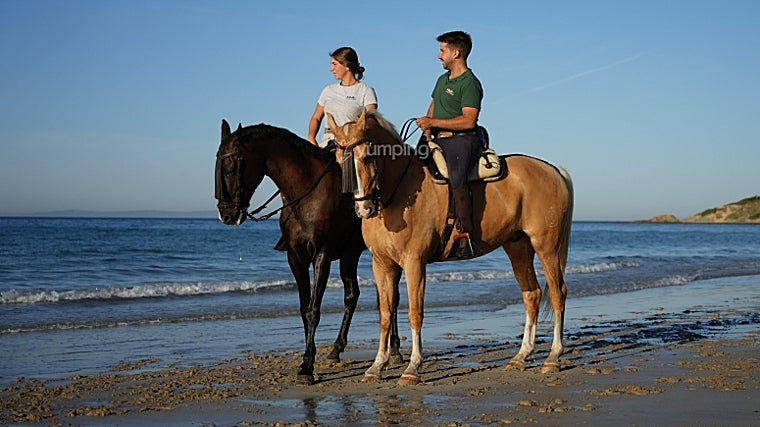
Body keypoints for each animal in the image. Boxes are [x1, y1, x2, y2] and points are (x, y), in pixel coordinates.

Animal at [214, 119, 402, 384]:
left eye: (231, 168)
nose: (227, 215)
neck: (306, 194)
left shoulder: (321, 256)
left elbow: (314, 309)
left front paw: (307, 367)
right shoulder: (295, 257)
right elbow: (304, 309)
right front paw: (307, 360)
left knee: (391, 297)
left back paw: (394, 350)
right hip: (351, 255)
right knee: (356, 296)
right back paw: (337, 349)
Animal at [326, 110, 574, 385]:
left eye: (368, 156)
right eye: (339, 160)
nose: (364, 208)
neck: (399, 192)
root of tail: (552, 169)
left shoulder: (414, 263)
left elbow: (415, 312)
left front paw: (412, 368)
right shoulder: (382, 265)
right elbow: (385, 314)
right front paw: (376, 366)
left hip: (546, 246)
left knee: (557, 294)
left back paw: (553, 357)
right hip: (518, 248)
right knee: (532, 295)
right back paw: (521, 356)